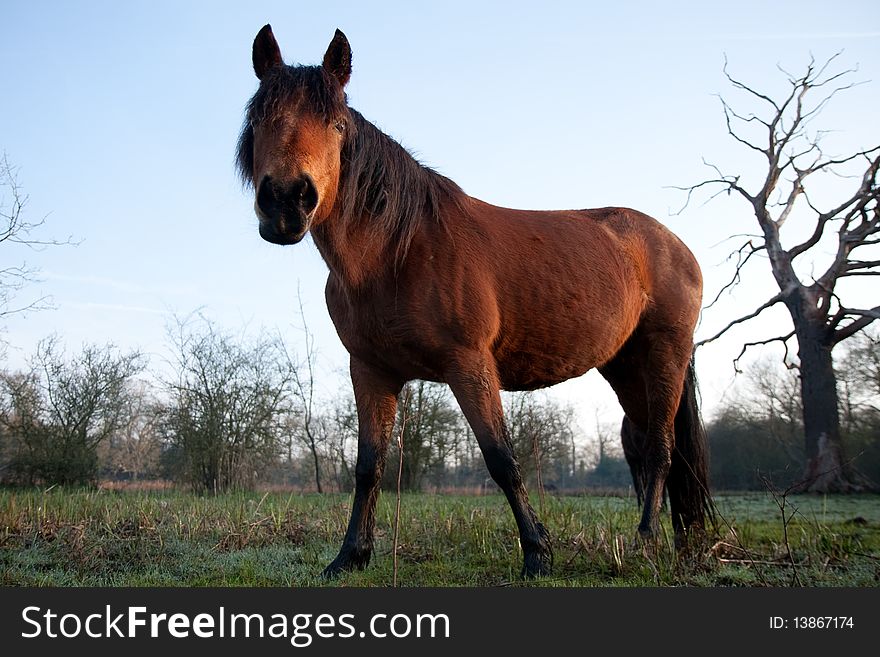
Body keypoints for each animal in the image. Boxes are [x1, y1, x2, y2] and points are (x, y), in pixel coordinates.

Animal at [235, 26, 716, 580]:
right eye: (259, 119)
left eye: (336, 126)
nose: (286, 201)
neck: (398, 251)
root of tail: (675, 245)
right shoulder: (371, 370)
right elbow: (368, 466)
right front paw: (350, 555)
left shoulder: (469, 365)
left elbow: (501, 459)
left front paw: (537, 554)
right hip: (623, 365)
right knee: (643, 445)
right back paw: (676, 538)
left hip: (665, 355)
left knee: (660, 449)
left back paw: (646, 541)